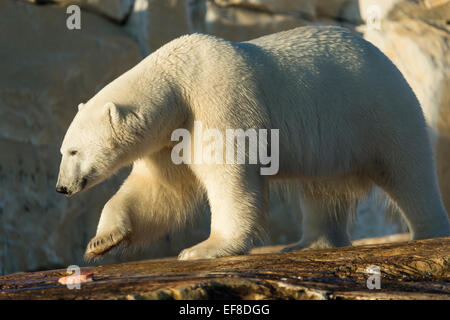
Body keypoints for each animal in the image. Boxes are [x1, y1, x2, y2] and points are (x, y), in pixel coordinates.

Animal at [57, 26, 450, 260]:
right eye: (63, 150)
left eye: (74, 151)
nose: (62, 187)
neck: (177, 78)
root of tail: (383, 57)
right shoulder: (171, 135)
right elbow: (159, 189)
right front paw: (101, 241)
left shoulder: (217, 99)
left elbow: (227, 172)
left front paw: (204, 248)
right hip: (332, 142)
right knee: (322, 190)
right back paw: (306, 242)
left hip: (378, 110)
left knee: (408, 171)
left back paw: (428, 232)